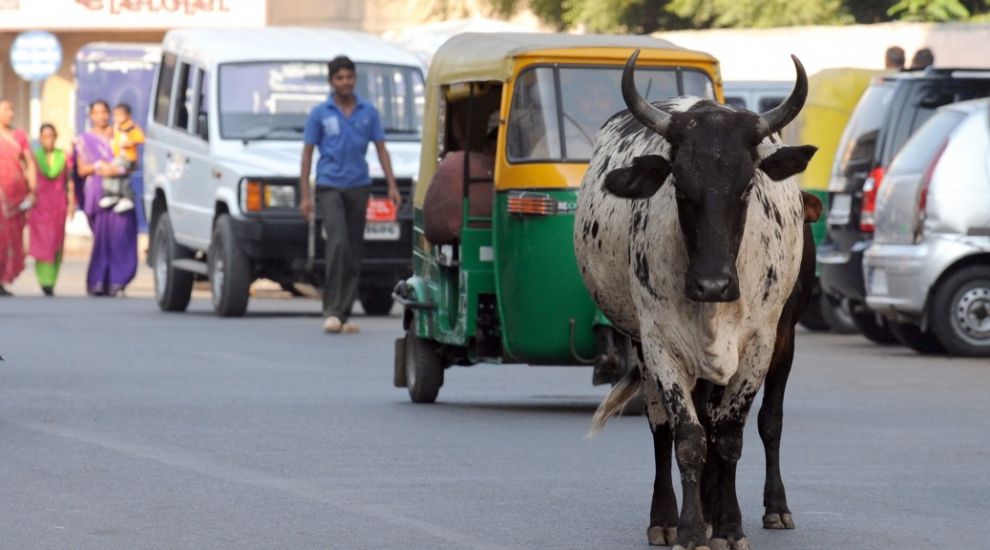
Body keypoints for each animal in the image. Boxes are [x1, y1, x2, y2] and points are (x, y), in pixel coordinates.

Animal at [572, 49, 820, 548]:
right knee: (663, 427)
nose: (712, 286)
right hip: (643, 346)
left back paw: (763, 508)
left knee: (762, 422)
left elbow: (730, 436)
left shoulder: (762, 344)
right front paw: (688, 527)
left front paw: (729, 525)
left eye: (746, 187)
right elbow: (687, 437)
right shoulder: (659, 344)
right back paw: (669, 516)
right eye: (681, 188)